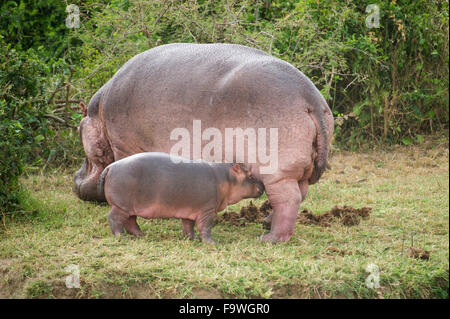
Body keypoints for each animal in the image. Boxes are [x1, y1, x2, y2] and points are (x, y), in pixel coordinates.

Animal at [97, 152, 264, 242]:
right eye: (250, 175)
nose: (263, 185)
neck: (226, 178)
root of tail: (110, 167)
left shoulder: (190, 209)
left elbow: (188, 226)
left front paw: (192, 239)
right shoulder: (207, 210)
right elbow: (205, 227)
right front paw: (211, 243)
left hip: (130, 207)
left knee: (131, 222)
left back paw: (142, 235)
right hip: (121, 205)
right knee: (114, 219)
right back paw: (121, 236)